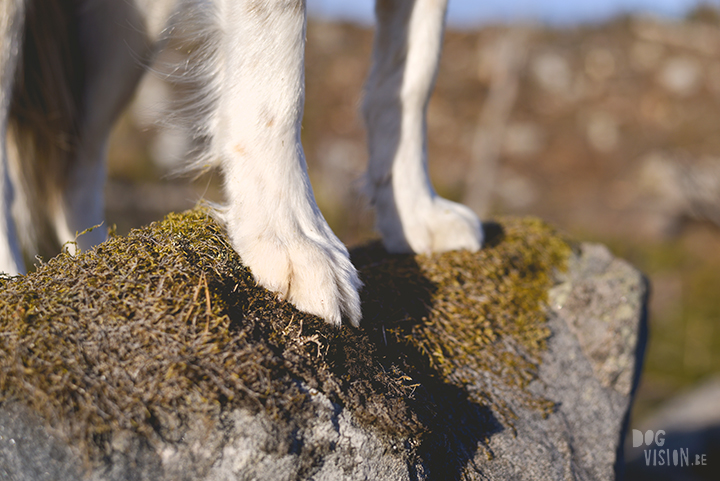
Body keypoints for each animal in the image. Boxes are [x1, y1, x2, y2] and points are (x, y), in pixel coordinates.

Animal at [1, 0, 484, 326]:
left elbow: (411, 79)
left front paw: (416, 212)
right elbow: (280, 83)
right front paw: (292, 238)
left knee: (77, 155)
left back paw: (93, 258)